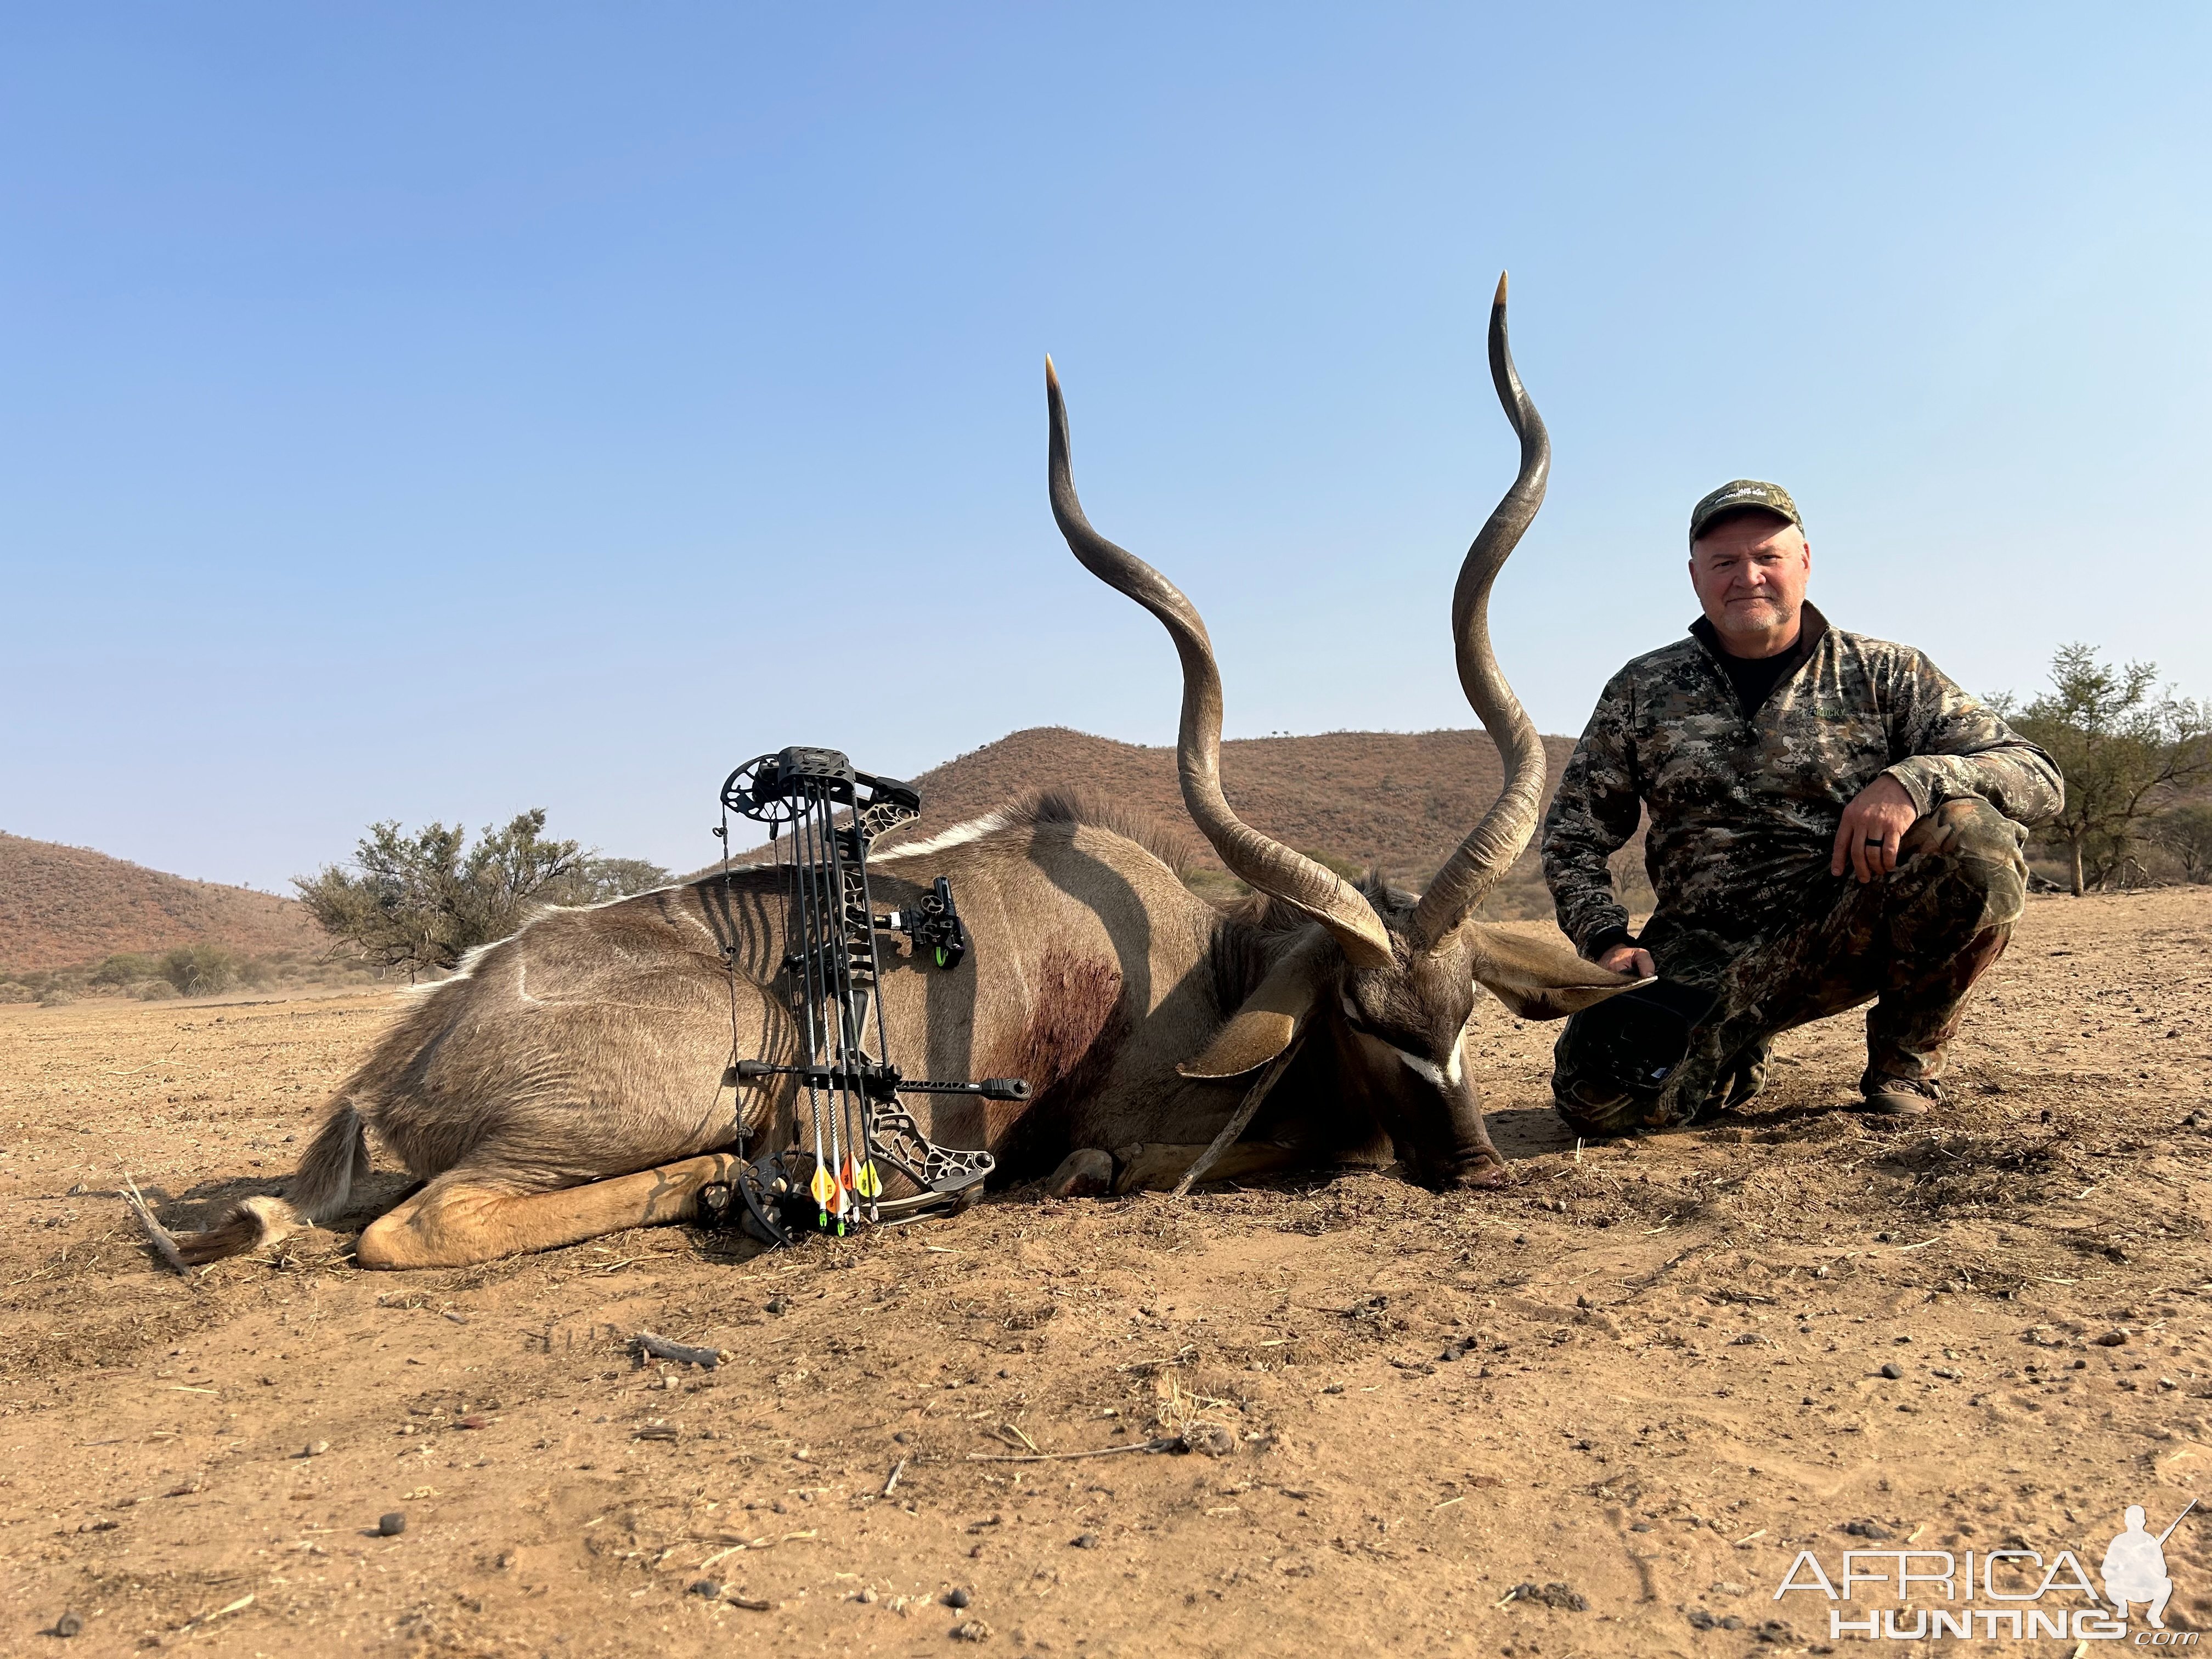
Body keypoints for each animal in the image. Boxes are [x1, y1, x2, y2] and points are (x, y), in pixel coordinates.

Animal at [168, 283, 1628, 1274]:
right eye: (1366, 1022)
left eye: (1464, 1012)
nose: (1480, 1171)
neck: (1200, 963)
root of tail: (397, 1063)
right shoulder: (1138, 1135)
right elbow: (1156, 1157)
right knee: (413, 1227)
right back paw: (716, 1183)